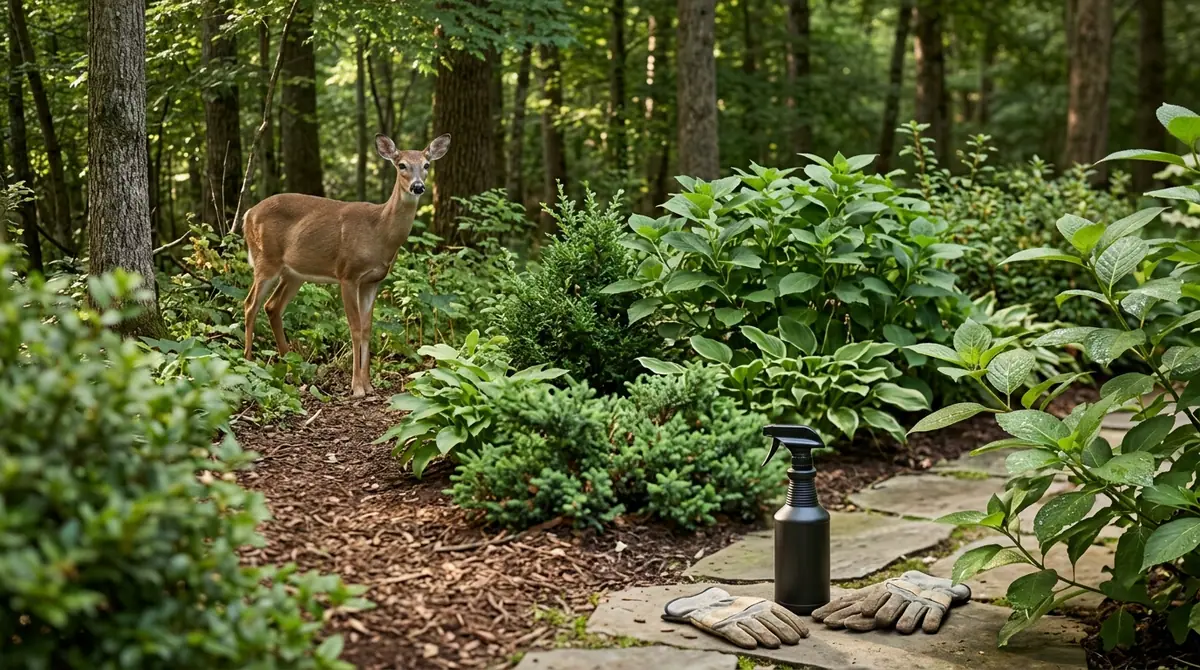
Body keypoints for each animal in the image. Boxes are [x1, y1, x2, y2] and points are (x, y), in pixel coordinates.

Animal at [241, 133, 451, 397]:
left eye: (426, 165)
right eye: (401, 164)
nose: (418, 186)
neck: (379, 232)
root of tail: (248, 213)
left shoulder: (373, 281)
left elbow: (368, 328)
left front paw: (369, 385)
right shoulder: (347, 274)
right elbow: (355, 327)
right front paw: (357, 388)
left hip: (294, 273)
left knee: (272, 306)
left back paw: (291, 366)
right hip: (265, 260)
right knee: (250, 304)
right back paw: (248, 362)